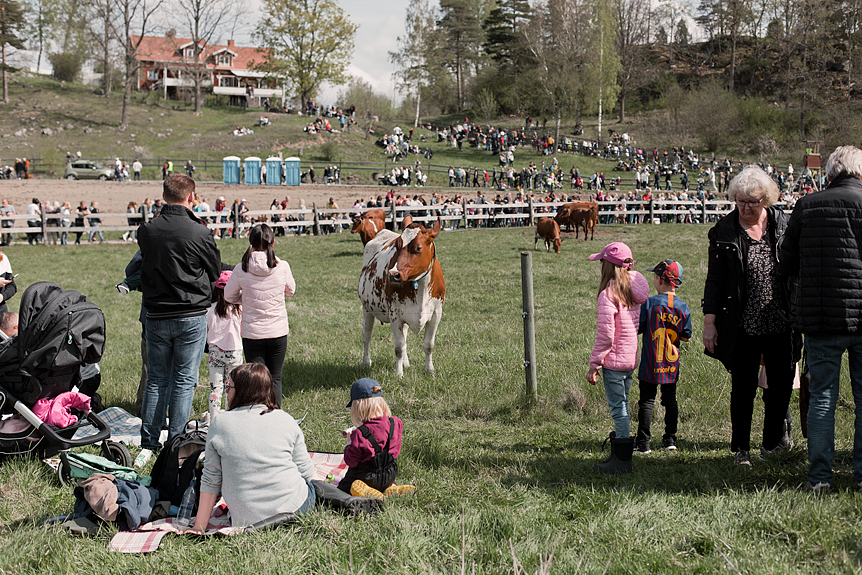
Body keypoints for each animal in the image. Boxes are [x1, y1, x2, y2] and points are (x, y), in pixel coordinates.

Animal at [362, 218, 448, 376]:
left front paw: (429, 370)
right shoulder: (394, 314)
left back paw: (406, 363)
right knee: (367, 335)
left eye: (418, 248)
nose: (393, 274)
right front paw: (399, 374)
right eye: (397, 246)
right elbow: (399, 347)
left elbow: (428, 345)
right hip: (367, 308)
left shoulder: (436, 313)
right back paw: (366, 362)